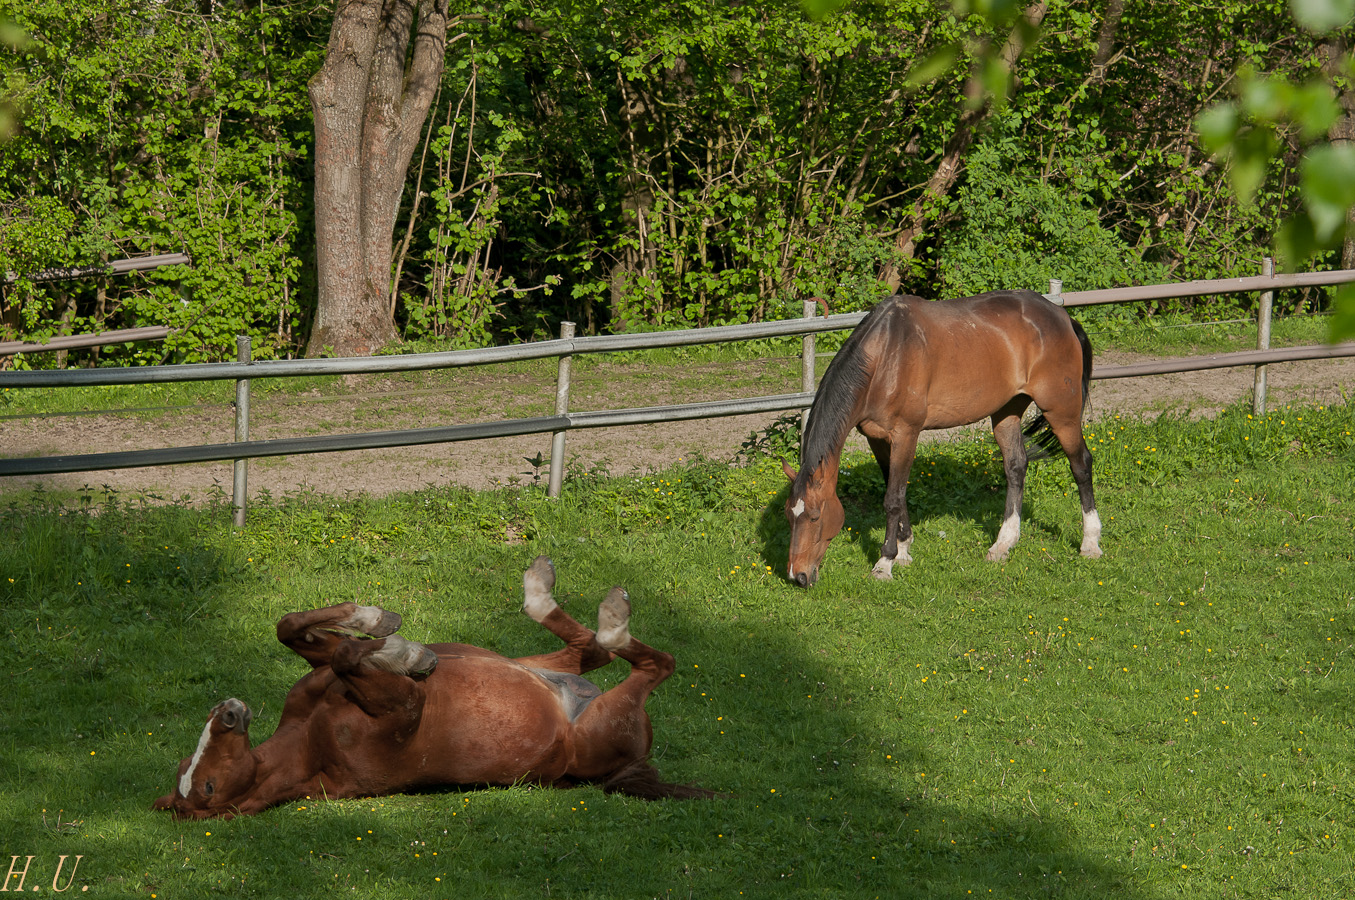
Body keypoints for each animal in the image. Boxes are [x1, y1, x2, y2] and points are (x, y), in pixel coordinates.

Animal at [152, 555, 710, 813]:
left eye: (193, 771)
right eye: (206, 786)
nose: (228, 711)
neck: (311, 745)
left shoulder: (317, 675)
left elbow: (295, 628)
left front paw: (380, 626)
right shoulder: (405, 710)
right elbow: (350, 654)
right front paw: (407, 652)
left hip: (527, 662)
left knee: (589, 649)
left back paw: (540, 584)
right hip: (608, 718)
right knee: (646, 661)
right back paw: (611, 613)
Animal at [785, 288, 1100, 582]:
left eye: (814, 516)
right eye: (789, 515)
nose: (797, 576)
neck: (886, 357)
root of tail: (1063, 318)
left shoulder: (906, 434)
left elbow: (893, 498)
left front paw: (885, 562)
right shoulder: (876, 438)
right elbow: (894, 488)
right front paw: (903, 550)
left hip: (1061, 411)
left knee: (1081, 465)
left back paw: (1090, 543)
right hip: (1006, 412)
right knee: (1016, 467)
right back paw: (1003, 544)